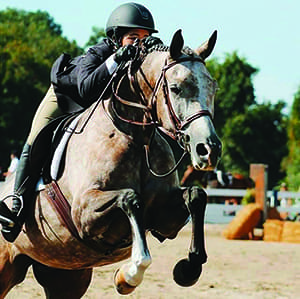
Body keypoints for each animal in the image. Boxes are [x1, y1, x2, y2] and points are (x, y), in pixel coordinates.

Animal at [0, 29, 220, 298]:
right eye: (176, 88)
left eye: (213, 88)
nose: (208, 150)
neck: (136, 137)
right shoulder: (84, 214)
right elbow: (130, 199)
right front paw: (129, 274)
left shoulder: (165, 218)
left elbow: (197, 196)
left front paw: (188, 269)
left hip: (65, 276)